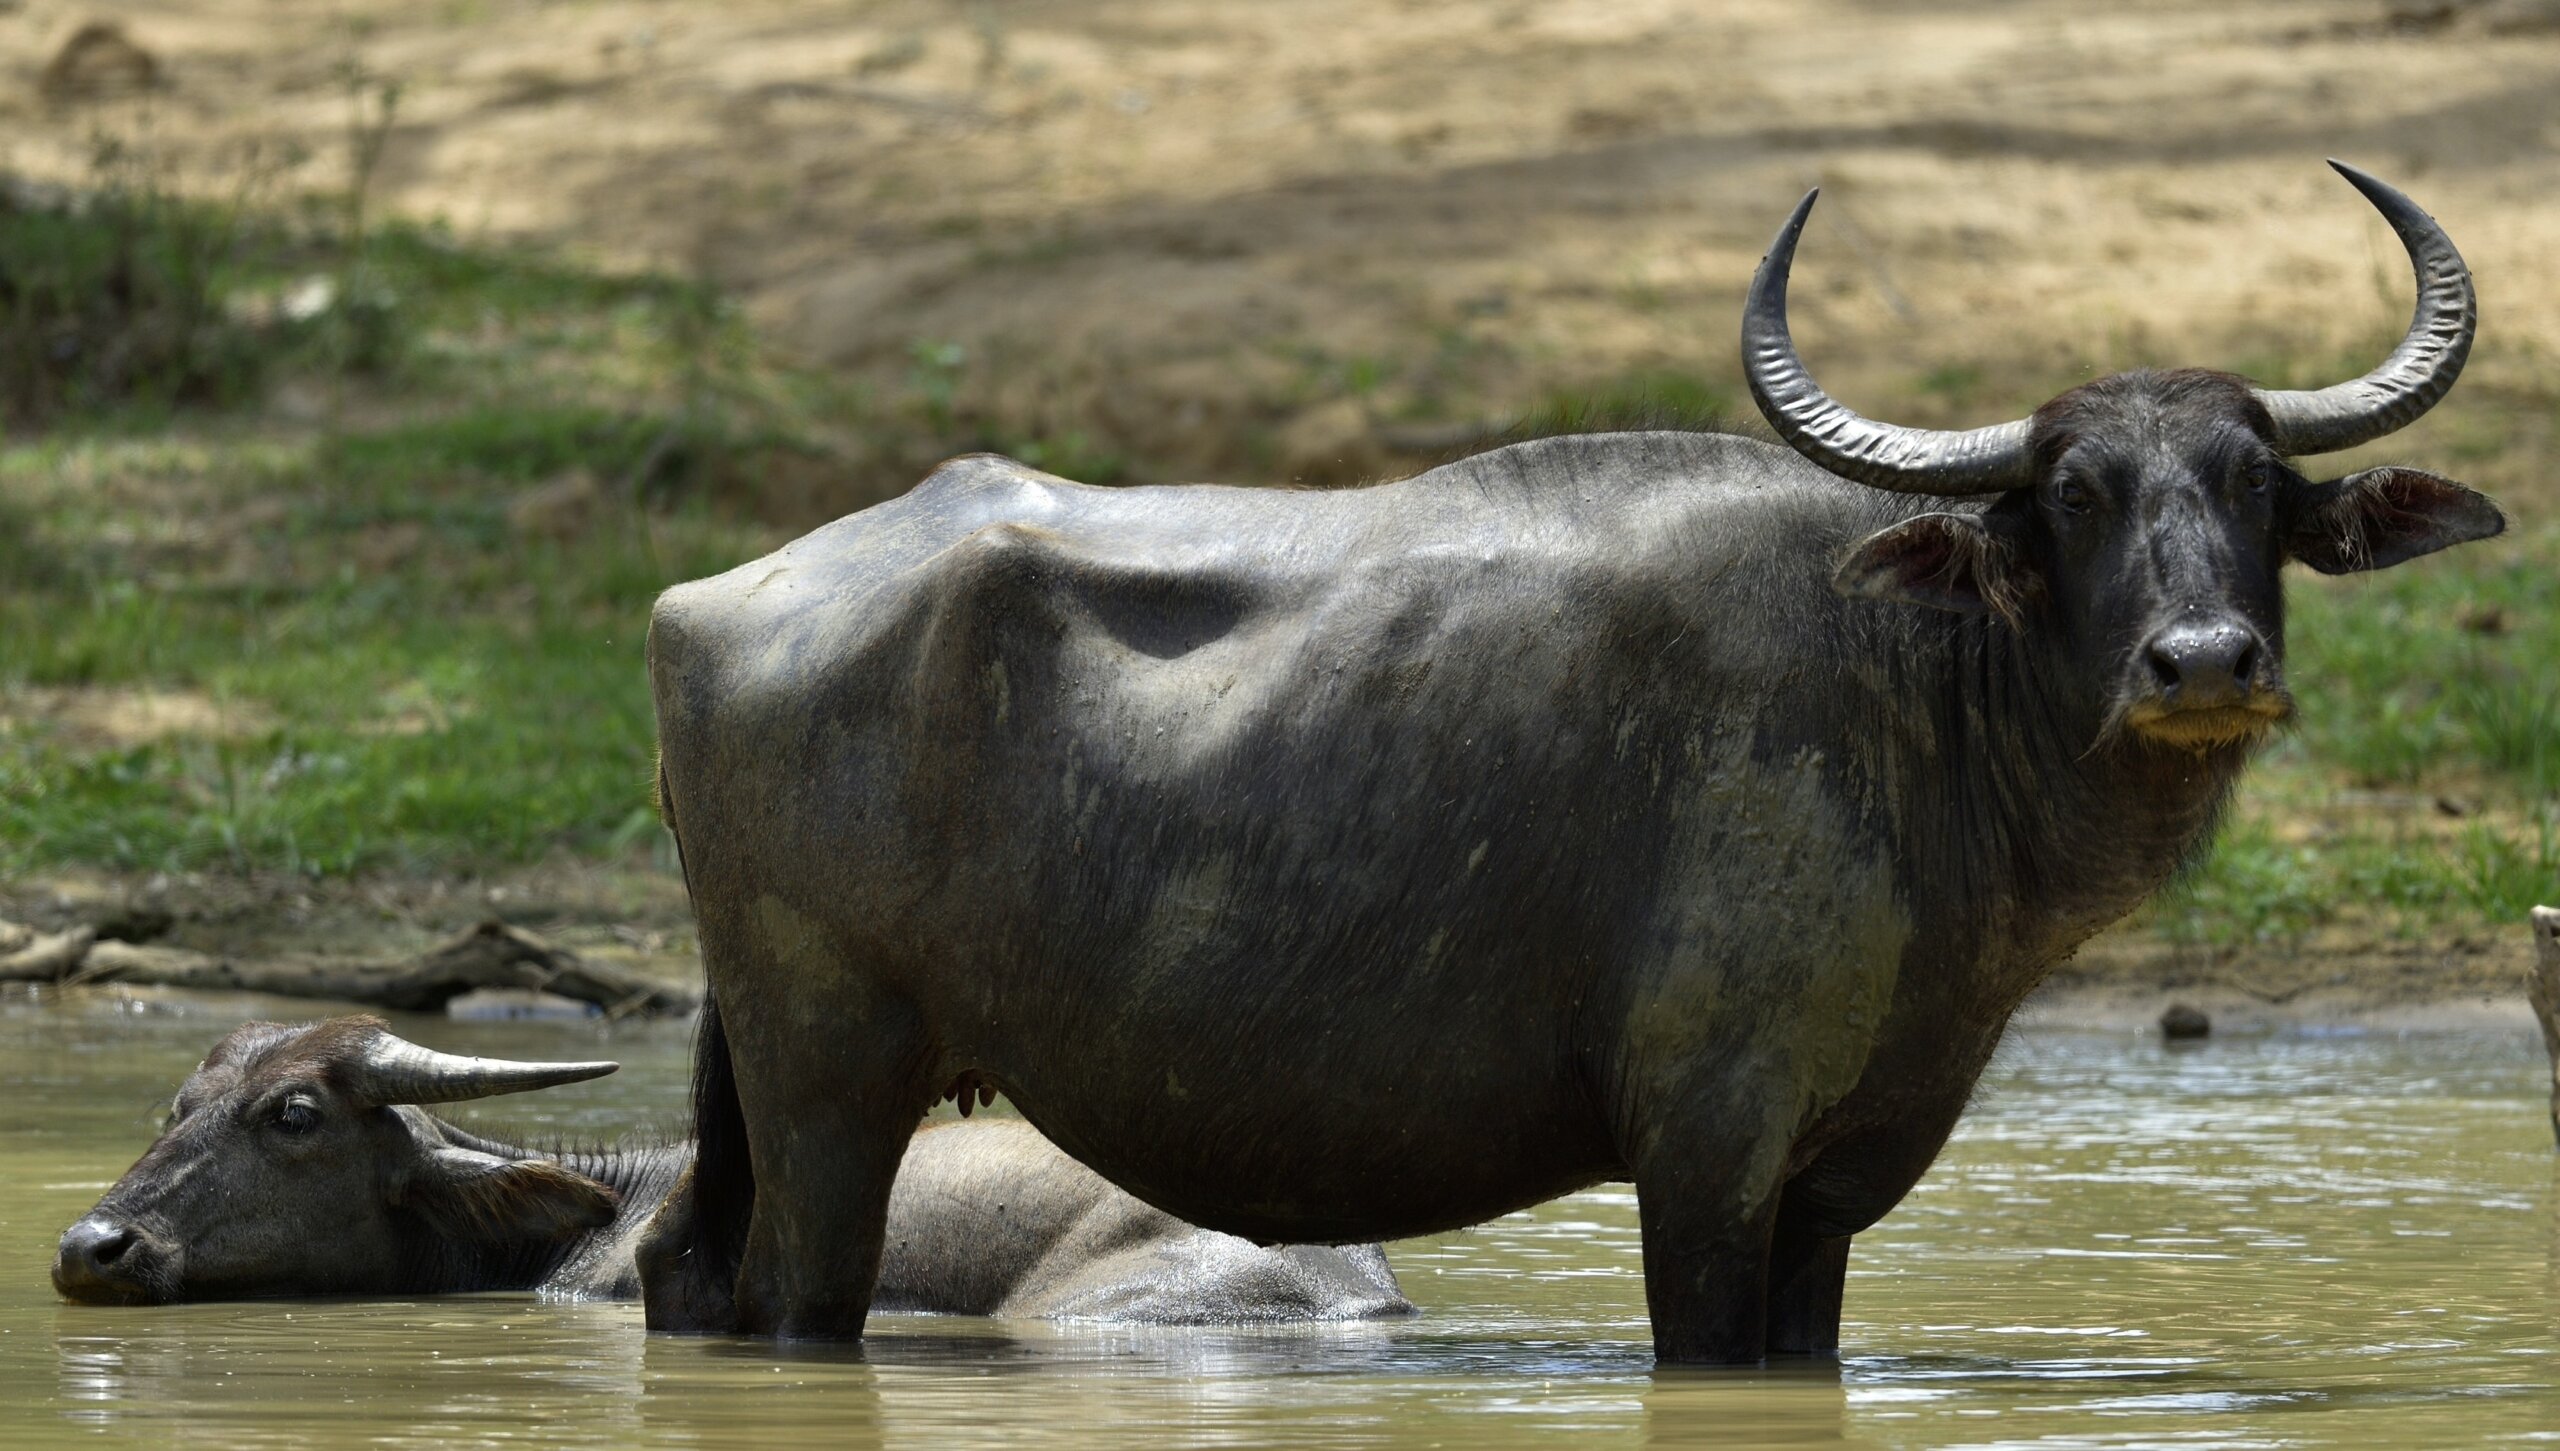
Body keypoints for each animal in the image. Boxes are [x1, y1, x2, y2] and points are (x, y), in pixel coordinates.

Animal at [634, 162, 2503, 1363]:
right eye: (2071, 497)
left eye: (2255, 484)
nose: (2204, 663)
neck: (1916, 709)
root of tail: (705, 596)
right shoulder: (1704, 1145)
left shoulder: (1840, 1176)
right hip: (828, 1069)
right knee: (796, 1297)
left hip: (759, 1063)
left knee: (683, 1267)